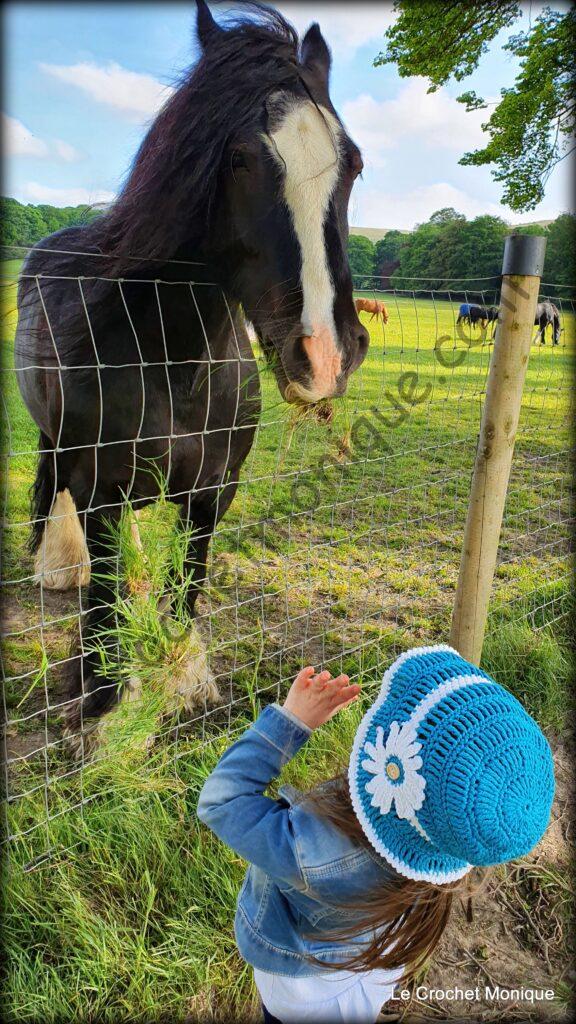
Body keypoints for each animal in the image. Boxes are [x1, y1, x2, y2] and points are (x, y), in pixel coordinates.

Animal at [17, 4, 368, 749]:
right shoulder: (100, 493)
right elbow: (100, 606)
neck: (173, 365)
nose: (325, 354)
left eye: (351, 161)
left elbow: (186, 586)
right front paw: (101, 707)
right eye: (237, 158)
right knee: (53, 492)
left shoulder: (212, 495)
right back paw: (56, 565)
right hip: (56, 443)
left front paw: (182, 683)